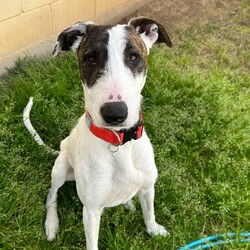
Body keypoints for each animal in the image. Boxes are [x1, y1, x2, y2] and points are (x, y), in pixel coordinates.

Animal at [28, 17, 172, 250]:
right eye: (91, 58)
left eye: (134, 56)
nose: (115, 113)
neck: (119, 144)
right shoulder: (91, 211)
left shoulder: (148, 186)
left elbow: (149, 213)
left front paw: (154, 230)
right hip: (60, 169)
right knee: (51, 196)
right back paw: (51, 224)